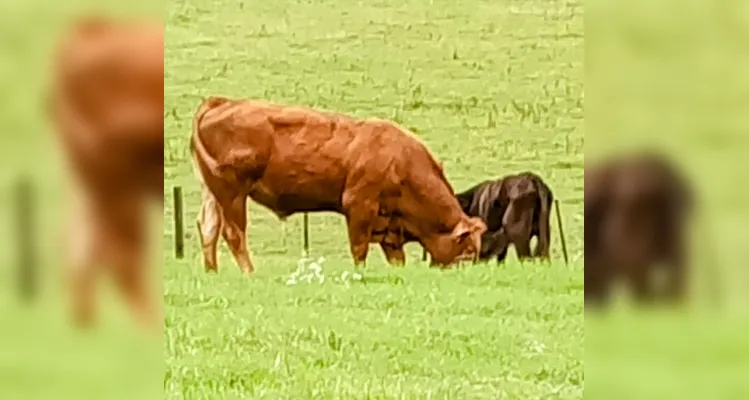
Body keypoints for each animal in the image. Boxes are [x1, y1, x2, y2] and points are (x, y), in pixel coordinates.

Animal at [190, 97, 488, 272]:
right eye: (467, 250)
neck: (400, 160)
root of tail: (219, 102)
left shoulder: (389, 226)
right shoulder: (359, 206)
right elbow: (359, 249)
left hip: (212, 192)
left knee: (208, 228)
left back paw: (212, 272)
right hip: (231, 192)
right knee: (233, 233)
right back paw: (250, 273)